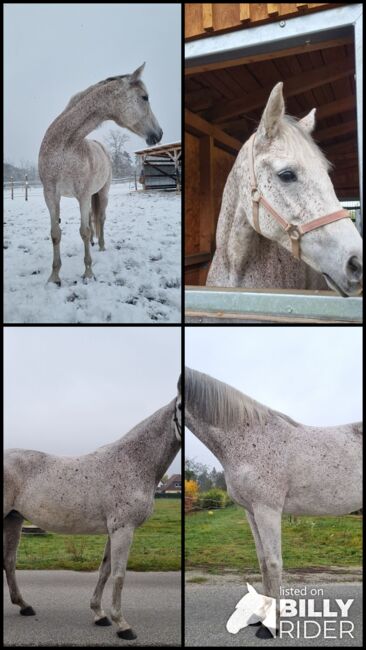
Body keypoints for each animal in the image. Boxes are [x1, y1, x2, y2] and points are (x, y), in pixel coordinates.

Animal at [2, 382, 180, 636]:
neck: (133, 462)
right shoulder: (124, 530)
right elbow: (119, 575)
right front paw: (122, 624)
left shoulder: (114, 531)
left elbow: (105, 570)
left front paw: (99, 614)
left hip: (13, 519)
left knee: (9, 561)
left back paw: (24, 605)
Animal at [39, 63, 163, 284]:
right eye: (144, 97)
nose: (159, 134)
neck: (64, 147)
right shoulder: (51, 195)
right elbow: (55, 233)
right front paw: (54, 277)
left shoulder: (83, 196)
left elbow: (85, 231)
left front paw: (88, 273)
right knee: (91, 219)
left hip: (102, 194)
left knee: (101, 219)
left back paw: (102, 246)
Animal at [184, 368, 362, 636]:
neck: (249, 437)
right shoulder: (251, 512)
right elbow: (262, 563)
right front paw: (261, 616)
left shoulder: (267, 510)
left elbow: (273, 562)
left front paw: (273, 624)